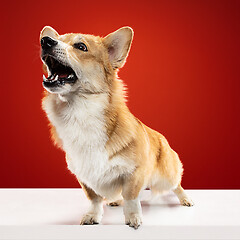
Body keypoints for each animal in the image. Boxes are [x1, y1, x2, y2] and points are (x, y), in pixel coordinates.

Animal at [39, 25, 193, 229]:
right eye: (57, 39)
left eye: (81, 46)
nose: (46, 41)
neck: (80, 111)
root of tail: (161, 137)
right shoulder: (84, 175)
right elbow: (94, 198)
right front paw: (93, 215)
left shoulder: (134, 173)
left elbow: (131, 197)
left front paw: (133, 218)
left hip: (167, 175)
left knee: (176, 184)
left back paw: (185, 199)